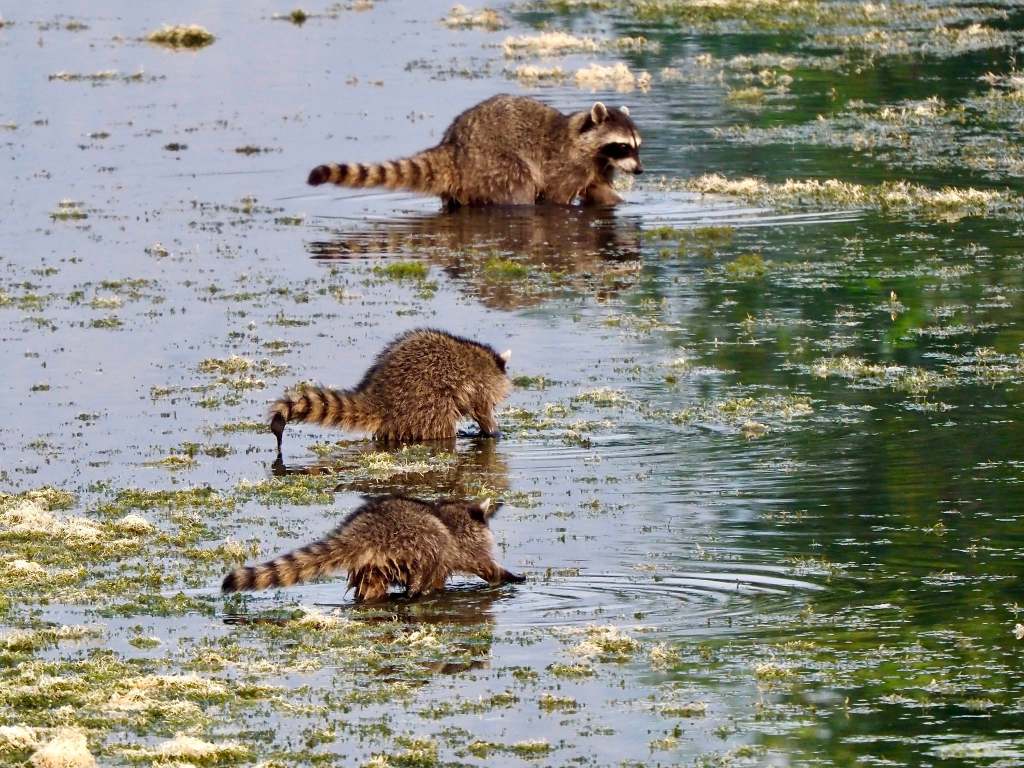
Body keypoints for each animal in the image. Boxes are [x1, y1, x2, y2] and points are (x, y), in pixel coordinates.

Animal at [221, 495, 525, 601]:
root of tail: (366, 531)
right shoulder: (468, 545)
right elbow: (485, 566)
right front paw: (508, 575)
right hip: (417, 541)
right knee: (427, 569)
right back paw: (416, 592)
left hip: (372, 565)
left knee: (370, 589)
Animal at [269, 328, 511, 450]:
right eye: (495, 403)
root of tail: (382, 398)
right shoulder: (479, 386)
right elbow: (481, 409)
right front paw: (492, 430)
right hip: (427, 403)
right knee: (441, 429)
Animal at [307, 94, 643, 209]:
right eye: (622, 145)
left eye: (637, 146)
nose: (640, 171)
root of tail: (454, 148)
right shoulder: (567, 164)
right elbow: (555, 198)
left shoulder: (597, 165)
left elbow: (599, 192)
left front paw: (619, 202)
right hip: (494, 163)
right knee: (519, 189)